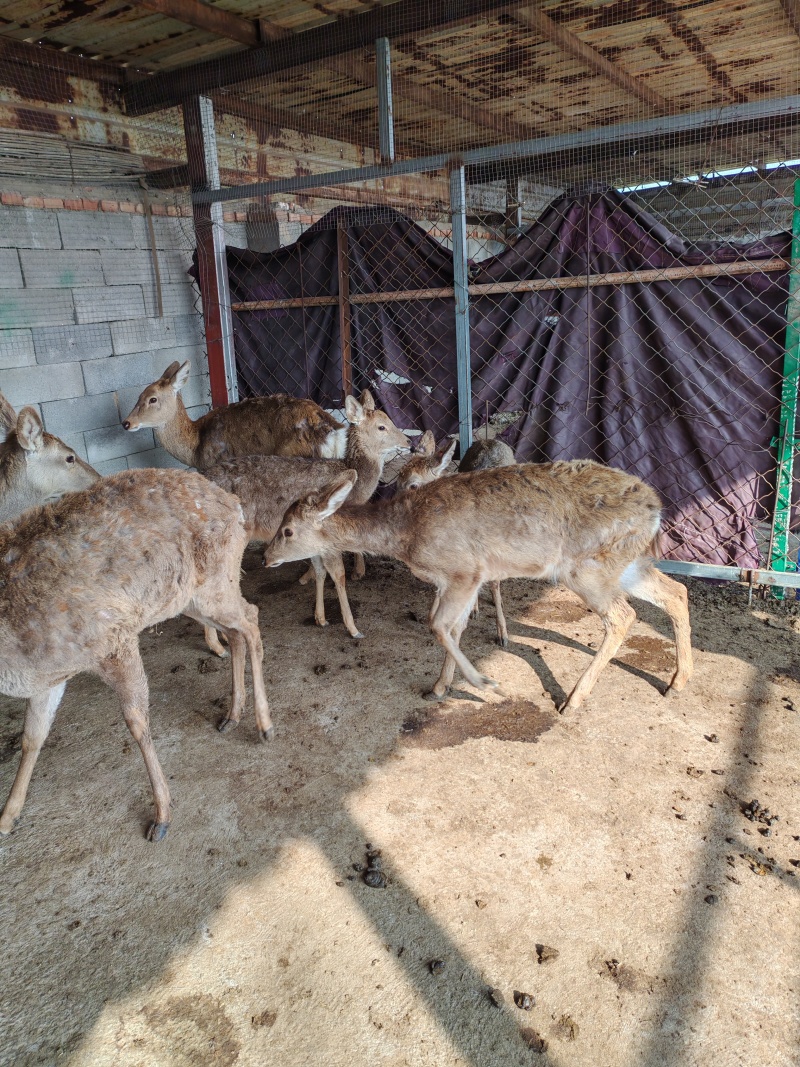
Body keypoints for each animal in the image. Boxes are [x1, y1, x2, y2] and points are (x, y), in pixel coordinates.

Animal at [0, 468, 272, 842]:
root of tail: (235, 505)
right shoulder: (50, 674)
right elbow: (31, 737)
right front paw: (6, 818)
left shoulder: (115, 639)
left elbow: (136, 721)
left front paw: (162, 815)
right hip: (189, 598)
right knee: (235, 632)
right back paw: (232, 714)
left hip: (217, 582)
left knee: (252, 617)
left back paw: (264, 725)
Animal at [201, 388, 408, 653]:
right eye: (382, 426)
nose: (409, 441)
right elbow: (338, 575)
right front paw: (353, 629)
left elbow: (320, 572)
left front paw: (321, 618)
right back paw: (217, 647)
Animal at [263, 459, 693, 710]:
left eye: (287, 530)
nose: (266, 557)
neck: (406, 534)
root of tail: (657, 509)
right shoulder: (458, 580)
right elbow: (453, 627)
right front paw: (439, 687)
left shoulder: (464, 571)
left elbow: (438, 625)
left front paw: (486, 683)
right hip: (626, 563)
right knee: (676, 592)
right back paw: (677, 682)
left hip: (586, 570)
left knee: (624, 616)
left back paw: (571, 701)